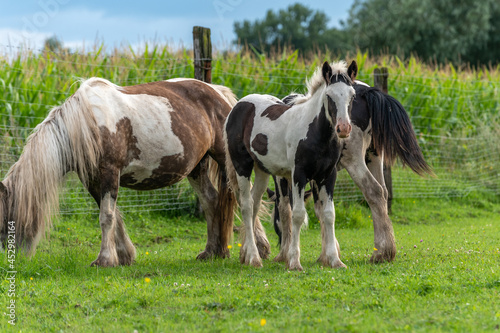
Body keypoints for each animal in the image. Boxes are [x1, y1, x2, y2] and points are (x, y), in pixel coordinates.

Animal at [0, 76, 238, 266]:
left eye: (5, 218)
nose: (9, 258)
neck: (87, 124)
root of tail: (218, 91)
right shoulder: (93, 180)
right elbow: (114, 215)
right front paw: (124, 256)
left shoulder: (109, 173)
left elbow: (106, 216)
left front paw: (104, 260)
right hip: (197, 168)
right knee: (210, 200)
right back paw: (210, 252)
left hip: (225, 160)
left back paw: (239, 252)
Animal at [225, 60, 358, 270]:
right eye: (329, 95)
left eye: (352, 95)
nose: (343, 128)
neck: (316, 133)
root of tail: (237, 105)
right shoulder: (298, 175)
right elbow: (297, 214)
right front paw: (294, 261)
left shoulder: (328, 176)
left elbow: (329, 214)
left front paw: (335, 260)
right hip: (242, 166)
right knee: (246, 206)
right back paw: (254, 258)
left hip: (262, 171)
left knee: (254, 205)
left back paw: (246, 254)